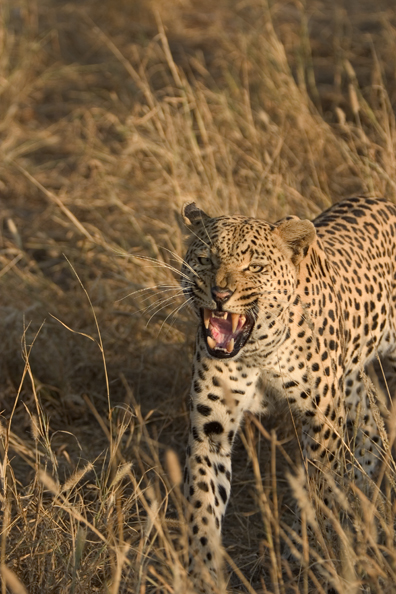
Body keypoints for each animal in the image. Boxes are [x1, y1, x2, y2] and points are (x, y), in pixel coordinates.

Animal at [179, 197, 396, 588]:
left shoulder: (323, 421)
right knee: (369, 435)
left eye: (254, 266)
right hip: (350, 379)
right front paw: (202, 572)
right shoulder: (210, 430)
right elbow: (202, 502)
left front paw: (309, 550)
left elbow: (317, 488)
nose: (220, 295)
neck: (258, 349)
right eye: (205, 259)